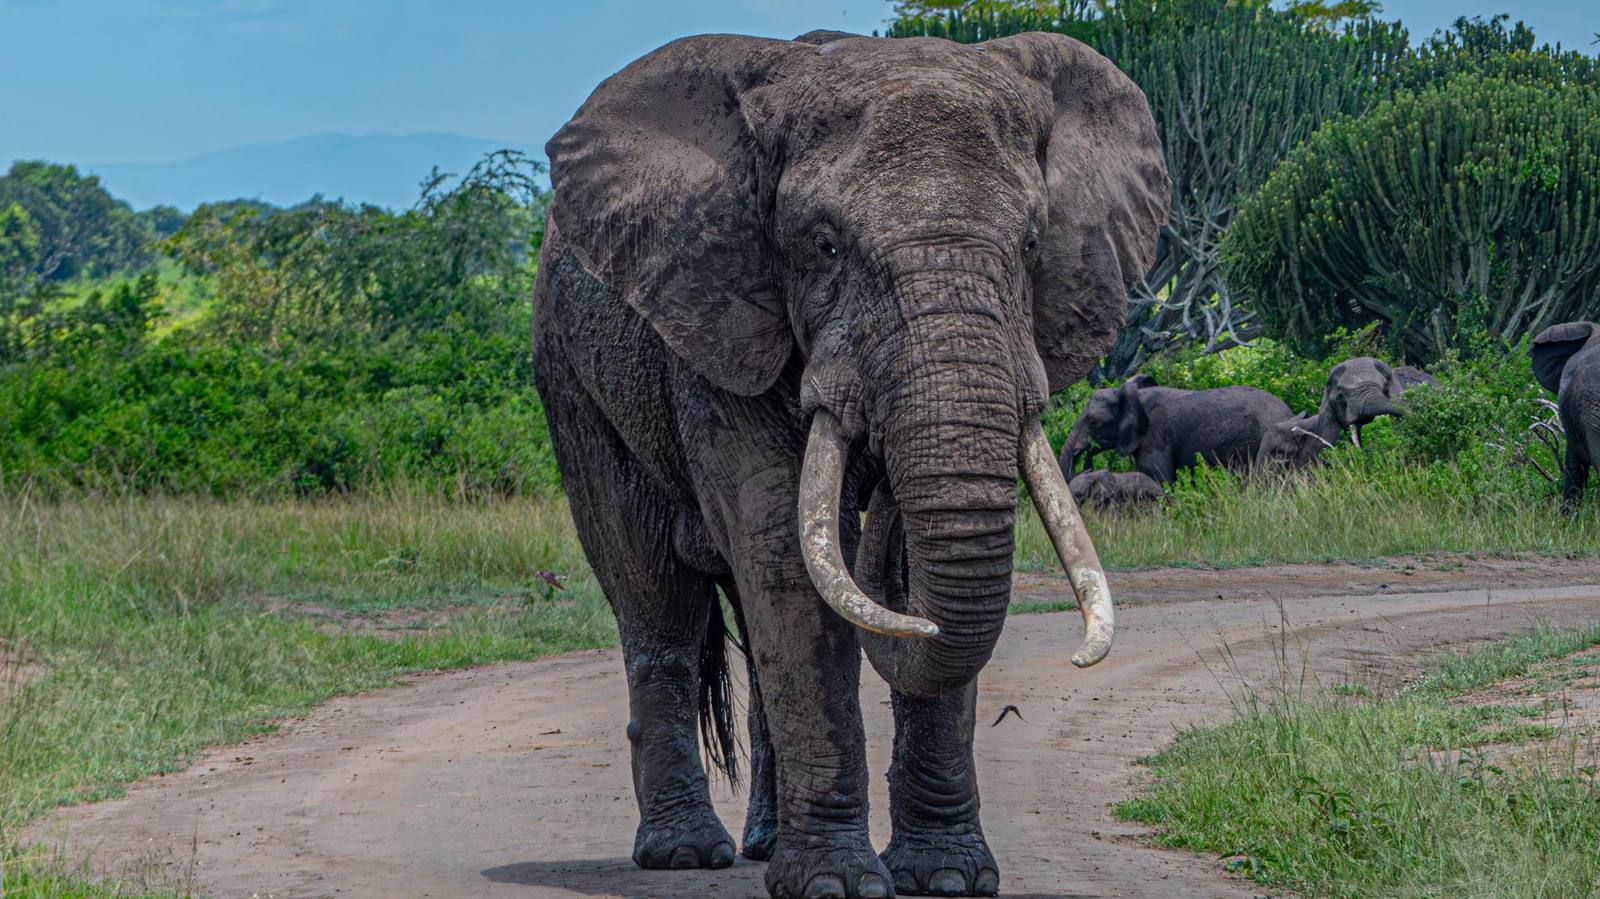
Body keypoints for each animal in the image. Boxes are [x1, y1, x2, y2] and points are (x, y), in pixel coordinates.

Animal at [533, 29, 1167, 899]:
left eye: (1034, 243)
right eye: (825, 246)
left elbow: (888, 577)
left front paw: (947, 877)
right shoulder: (724, 321)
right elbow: (785, 555)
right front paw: (834, 884)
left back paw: (764, 841)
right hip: (571, 379)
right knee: (653, 593)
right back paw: (685, 852)